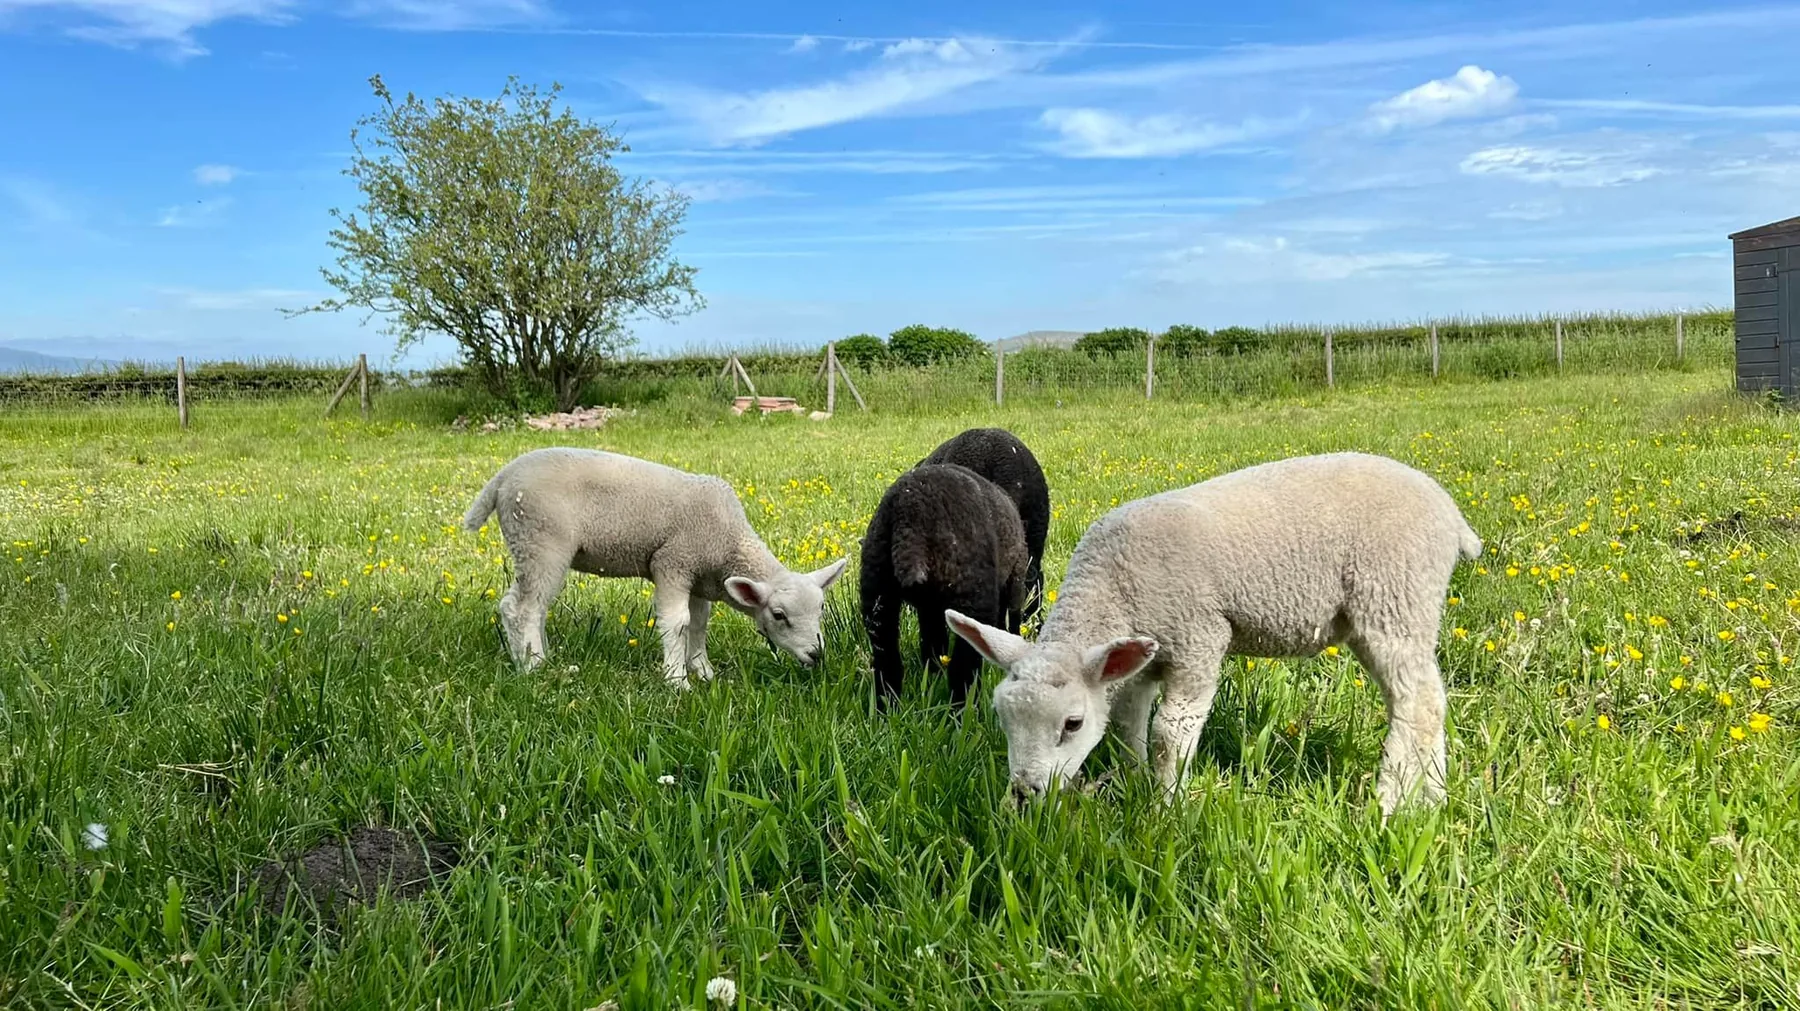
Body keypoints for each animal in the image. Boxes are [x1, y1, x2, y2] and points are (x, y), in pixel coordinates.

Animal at [463, 447, 847, 686]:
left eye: (822, 609)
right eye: (779, 615)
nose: (816, 655)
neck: (728, 542)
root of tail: (503, 477)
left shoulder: (699, 578)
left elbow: (699, 624)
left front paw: (703, 671)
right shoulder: (672, 563)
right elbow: (676, 623)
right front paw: (678, 681)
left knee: (536, 606)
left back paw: (540, 658)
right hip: (540, 540)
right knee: (520, 608)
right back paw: (533, 667)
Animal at [860, 463, 1031, 707]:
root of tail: (910, 513)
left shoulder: (928, 606)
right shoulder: (1016, 576)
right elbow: (1013, 618)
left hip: (877, 592)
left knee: (888, 660)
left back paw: (888, 707)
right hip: (973, 594)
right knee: (964, 667)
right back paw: (965, 709)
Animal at [943, 451, 1481, 816]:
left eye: (1071, 724)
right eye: (1002, 717)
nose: (1024, 793)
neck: (1112, 585)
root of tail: (1451, 514)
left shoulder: (1198, 639)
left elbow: (1170, 732)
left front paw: (1165, 808)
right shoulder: (1140, 660)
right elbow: (1127, 727)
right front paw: (1135, 783)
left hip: (1394, 595)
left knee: (1418, 704)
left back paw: (1387, 802)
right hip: (1386, 614)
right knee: (1423, 699)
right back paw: (1432, 798)